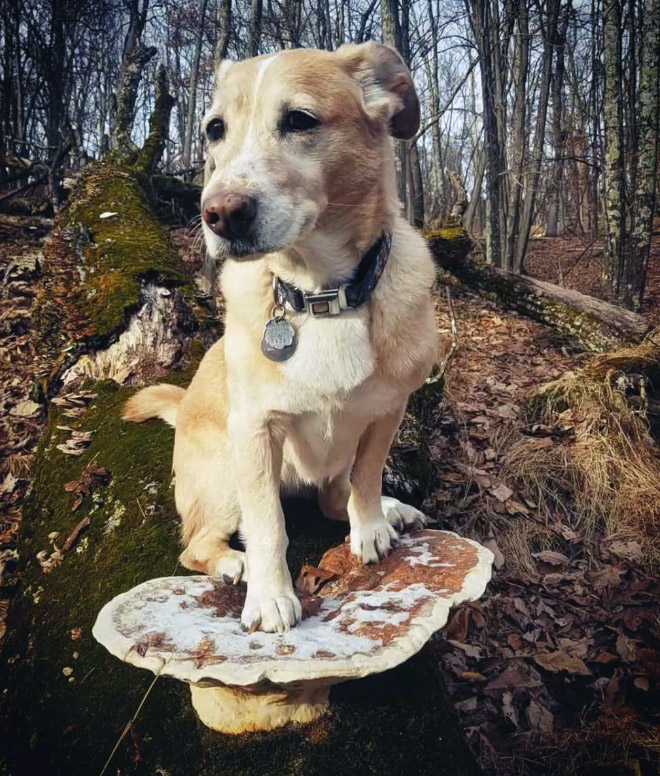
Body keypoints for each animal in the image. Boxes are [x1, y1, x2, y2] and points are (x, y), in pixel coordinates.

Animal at [125, 42, 438, 632]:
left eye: (299, 120)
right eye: (215, 129)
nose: (218, 213)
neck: (321, 295)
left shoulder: (387, 412)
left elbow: (365, 480)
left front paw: (370, 526)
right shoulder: (255, 429)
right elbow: (269, 524)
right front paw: (271, 596)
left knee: (334, 498)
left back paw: (388, 510)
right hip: (225, 477)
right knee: (198, 544)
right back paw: (234, 563)